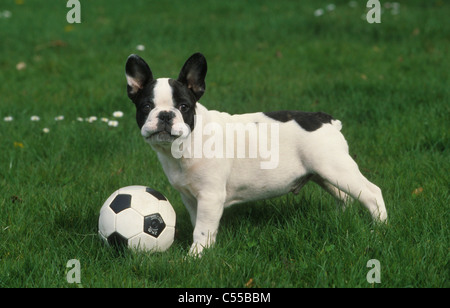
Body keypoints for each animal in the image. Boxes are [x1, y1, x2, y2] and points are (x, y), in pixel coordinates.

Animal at [125, 53, 388, 258]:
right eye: (146, 107)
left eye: (183, 107)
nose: (165, 115)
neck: (184, 145)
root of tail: (325, 119)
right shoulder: (190, 197)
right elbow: (197, 222)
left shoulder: (210, 196)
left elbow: (202, 227)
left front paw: (196, 255)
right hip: (322, 173)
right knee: (343, 197)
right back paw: (340, 220)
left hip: (336, 168)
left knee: (372, 193)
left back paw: (379, 229)